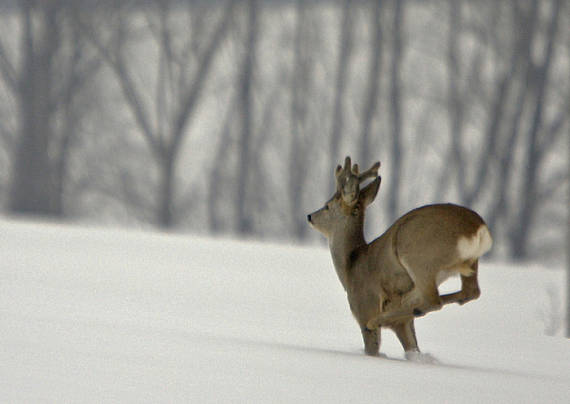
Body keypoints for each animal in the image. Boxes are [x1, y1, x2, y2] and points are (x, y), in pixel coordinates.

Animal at [308, 156, 490, 358]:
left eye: (327, 206)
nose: (310, 216)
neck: (351, 265)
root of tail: (477, 228)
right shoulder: (404, 324)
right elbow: (412, 345)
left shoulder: (364, 303)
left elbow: (372, 348)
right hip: (469, 263)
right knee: (470, 292)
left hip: (417, 256)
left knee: (434, 300)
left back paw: (383, 317)